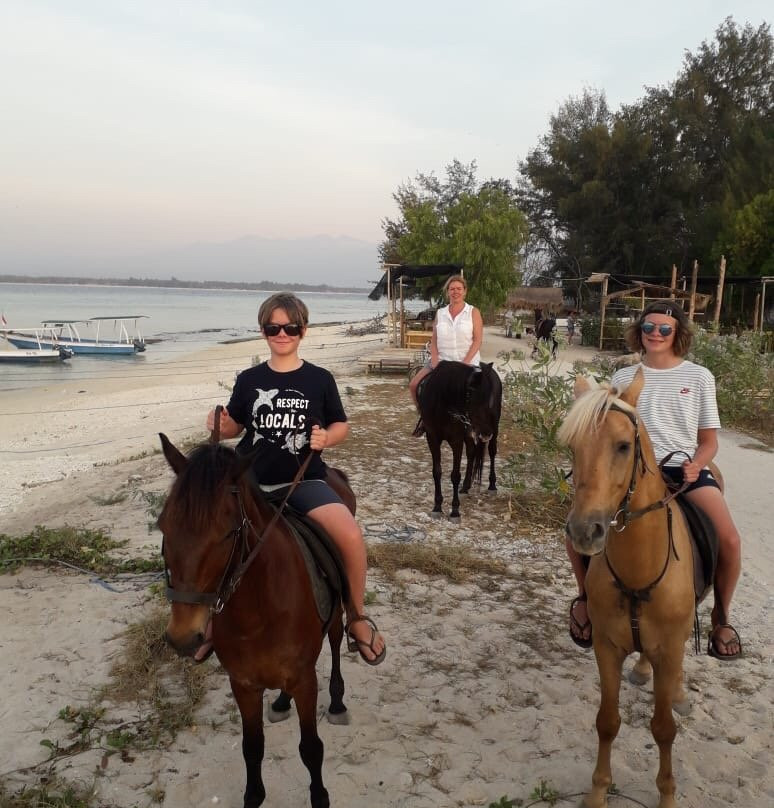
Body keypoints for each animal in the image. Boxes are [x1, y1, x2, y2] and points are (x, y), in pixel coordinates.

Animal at [158, 433, 353, 808]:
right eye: (163, 526)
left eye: (227, 533)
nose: (183, 637)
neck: (258, 613)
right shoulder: (244, 684)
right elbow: (252, 748)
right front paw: (253, 795)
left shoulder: (305, 681)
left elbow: (311, 749)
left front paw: (319, 796)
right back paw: (280, 701)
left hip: (336, 612)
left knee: (336, 641)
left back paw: (337, 701)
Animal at [417, 360, 502, 520]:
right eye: (474, 398)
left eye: (489, 398)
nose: (486, 433)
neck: (442, 404)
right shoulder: (432, 438)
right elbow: (436, 472)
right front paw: (437, 506)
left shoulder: (456, 440)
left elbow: (455, 475)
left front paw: (455, 511)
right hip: (470, 434)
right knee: (472, 452)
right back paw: (465, 486)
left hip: (494, 426)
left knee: (492, 451)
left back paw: (492, 485)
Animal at [558, 369, 704, 808]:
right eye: (573, 447)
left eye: (624, 446)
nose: (584, 531)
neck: (639, 571)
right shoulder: (607, 646)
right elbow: (607, 721)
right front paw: (597, 792)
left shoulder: (670, 648)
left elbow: (664, 729)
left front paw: (668, 796)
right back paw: (642, 670)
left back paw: (677, 692)